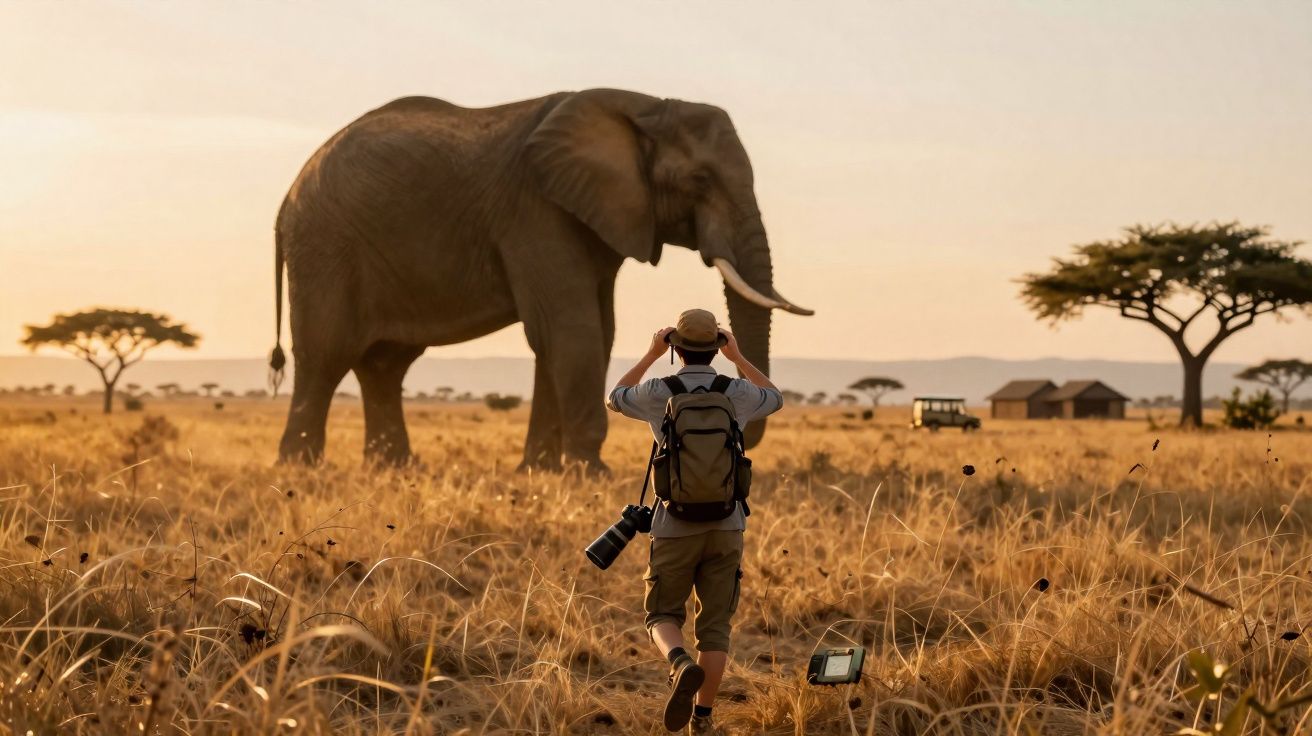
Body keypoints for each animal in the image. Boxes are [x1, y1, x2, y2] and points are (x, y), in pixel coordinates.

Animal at [268, 88, 812, 469]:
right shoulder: (536, 211)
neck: (644, 106)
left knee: (385, 365)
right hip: (326, 246)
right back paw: (301, 468)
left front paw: (542, 471)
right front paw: (589, 472)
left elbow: (586, 332)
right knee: (325, 354)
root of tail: (288, 196)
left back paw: (393, 468)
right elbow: (572, 329)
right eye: (699, 181)